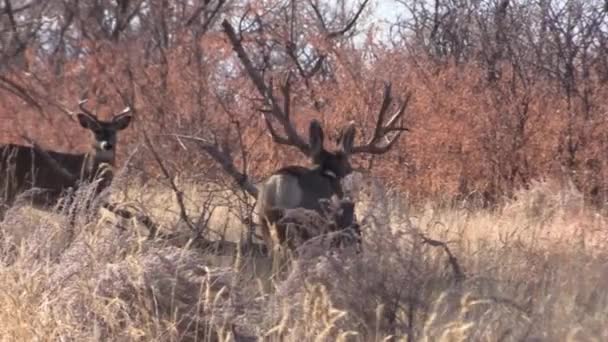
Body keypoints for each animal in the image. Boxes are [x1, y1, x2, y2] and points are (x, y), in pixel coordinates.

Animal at [0, 100, 133, 220]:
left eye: (114, 131)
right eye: (97, 131)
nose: (107, 145)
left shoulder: (92, 206)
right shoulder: (73, 203)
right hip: (7, 192)